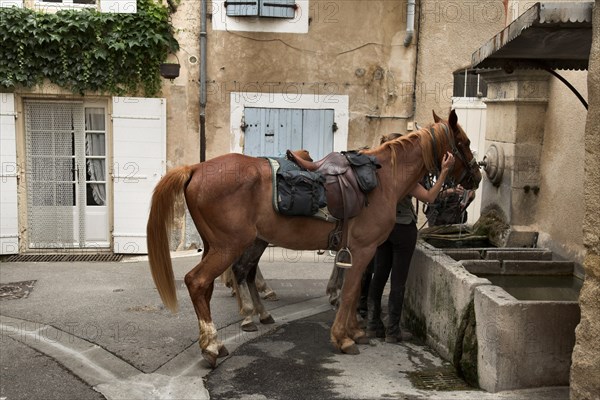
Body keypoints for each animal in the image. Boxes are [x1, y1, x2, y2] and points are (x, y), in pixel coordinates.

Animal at [145, 109, 478, 366]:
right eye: (464, 142)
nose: (476, 178)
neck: (383, 179)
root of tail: (196, 168)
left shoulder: (358, 251)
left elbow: (354, 288)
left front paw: (355, 331)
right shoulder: (364, 249)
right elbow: (351, 291)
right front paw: (343, 338)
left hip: (226, 245)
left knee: (224, 280)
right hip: (229, 246)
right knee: (199, 282)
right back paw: (214, 345)